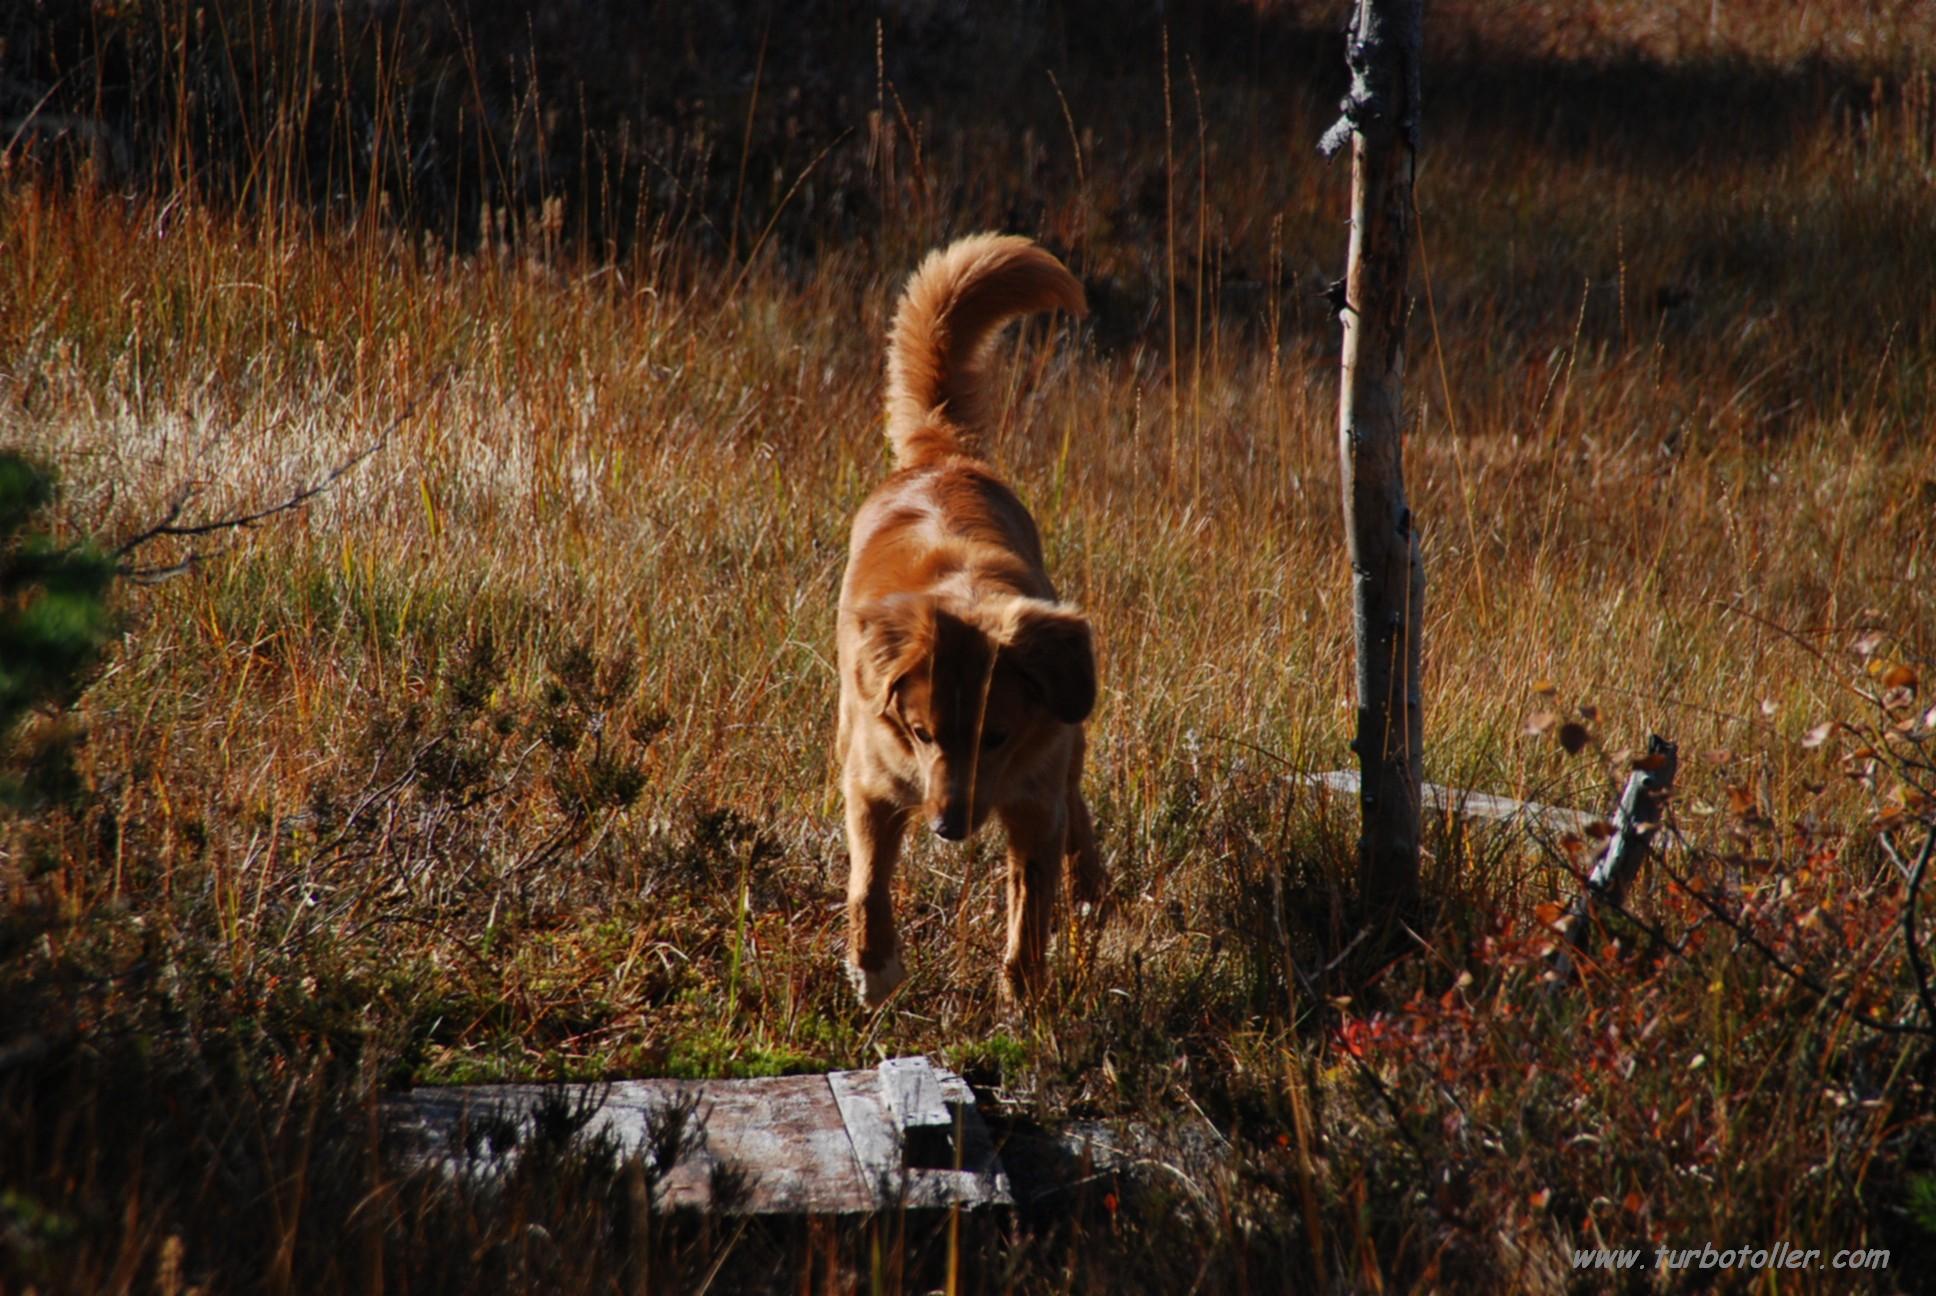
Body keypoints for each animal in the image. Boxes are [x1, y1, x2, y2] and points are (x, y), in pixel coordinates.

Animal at [836, 232, 1099, 1007]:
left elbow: (1030, 906)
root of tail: (942, 455)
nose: (949, 828)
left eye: (998, 735)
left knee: (1080, 826)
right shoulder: (872, 783)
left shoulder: (1033, 802)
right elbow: (868, 883)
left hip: (1067, 757)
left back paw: (1091, 889)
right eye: (922, 733)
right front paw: (875, 966)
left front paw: (1024, 998)